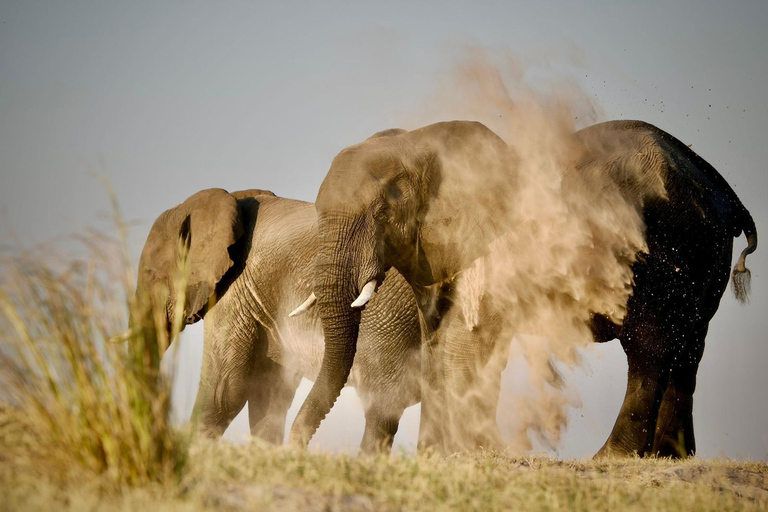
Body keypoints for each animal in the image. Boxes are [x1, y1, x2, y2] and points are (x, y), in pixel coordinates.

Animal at [133, 188, 420, 452]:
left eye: (151, 276)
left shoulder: (233, 291)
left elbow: (223, 391)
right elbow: (269, 393)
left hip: (392, 322)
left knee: (381, 410)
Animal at [290, 121, 756, 460]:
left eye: (382, 213)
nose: (293, 447)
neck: (417, 142)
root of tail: (718, 184)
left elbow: (465, 344)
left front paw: (476, 454)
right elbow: (437, 347)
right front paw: (439, 456)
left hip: (670, 249)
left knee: (650, 348)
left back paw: (614, 458)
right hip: (701, 255)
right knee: (686, 349)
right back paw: (671, 457)